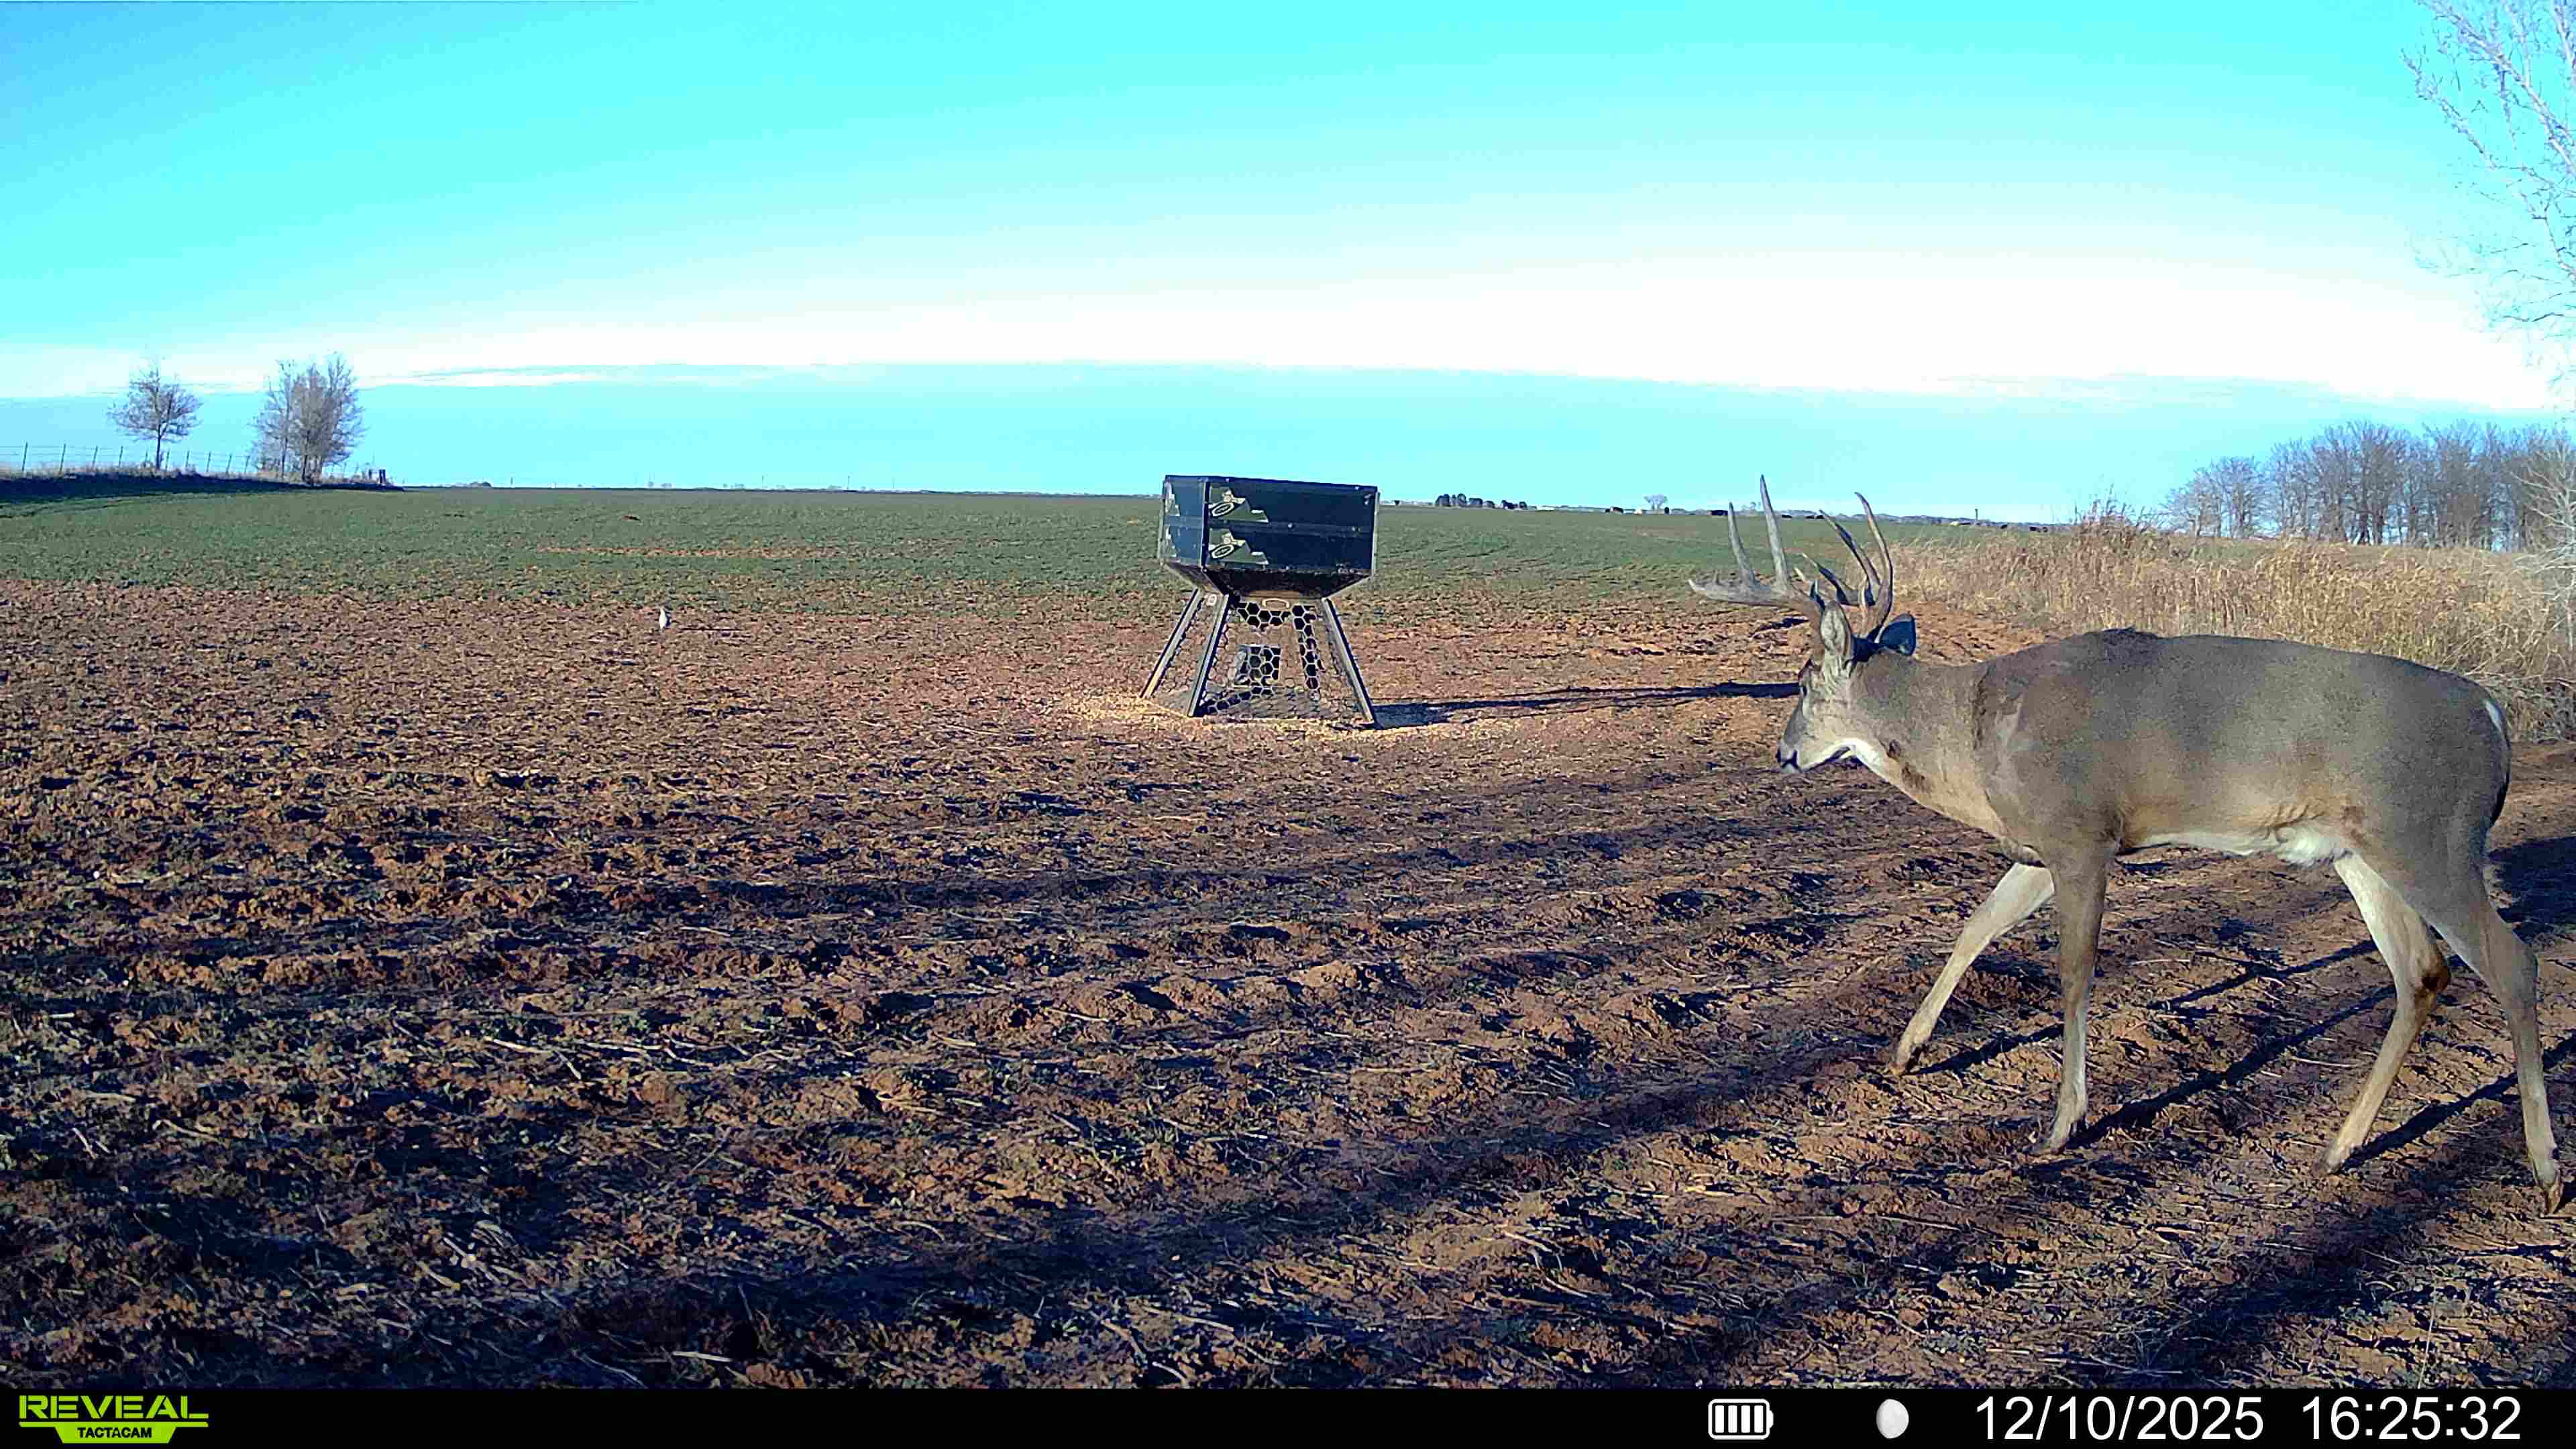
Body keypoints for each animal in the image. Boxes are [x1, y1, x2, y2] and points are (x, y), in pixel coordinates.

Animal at [1690, 478, 2563, 1211]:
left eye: (1803, 683)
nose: (1783, 753)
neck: (1972, 737)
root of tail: (2494, 713)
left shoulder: (2083, 834)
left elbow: (2074, 972)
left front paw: (2063, 1122)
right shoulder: (2039, 846)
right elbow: (1974, 929)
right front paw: (1904, 1054)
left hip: (2429, 836)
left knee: (2513, 962)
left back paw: (2547, 1170)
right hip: (2360, 853)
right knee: (2422, 973)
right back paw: (2340, 1148)